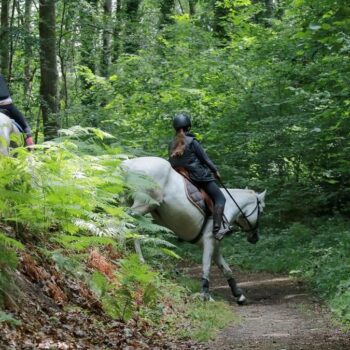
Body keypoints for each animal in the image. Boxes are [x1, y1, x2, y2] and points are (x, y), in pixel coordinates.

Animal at [121, 157, 266, 304]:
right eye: (261, 211)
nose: (255, 238)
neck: (229, 206)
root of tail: (129, 164)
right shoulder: (209, 240)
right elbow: (206, 268)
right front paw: (206, 295)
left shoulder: (215, 245)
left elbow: (226, 269)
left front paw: (238, 294)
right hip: (143, 205)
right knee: (125, 224)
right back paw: (134, 257)